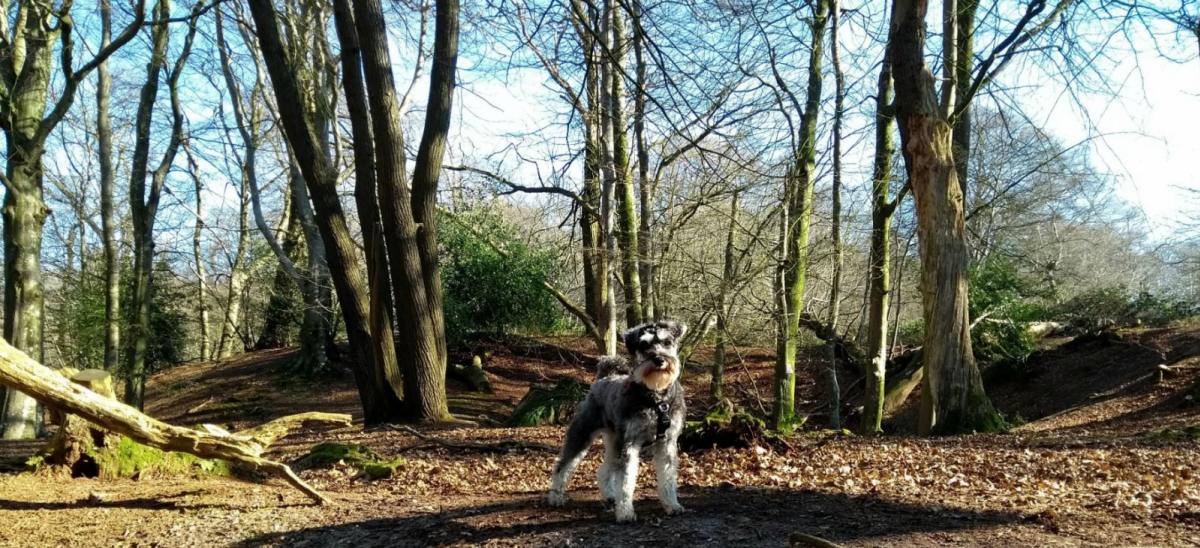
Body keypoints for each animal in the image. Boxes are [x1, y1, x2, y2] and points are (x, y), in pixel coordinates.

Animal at [549, 321, 691, 520]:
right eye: (644, 345)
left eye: (667, 342)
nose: (658, 360)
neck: (656, 399)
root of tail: (603, 379)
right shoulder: (629, 444)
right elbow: (625, 480)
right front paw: (625, 512)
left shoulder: (667, 443)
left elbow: (668, 477)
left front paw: (672, 505)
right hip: (582, 434)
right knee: (563, 465)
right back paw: (555, 497)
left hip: (614, 441)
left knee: (604, 469)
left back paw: (610, 496)